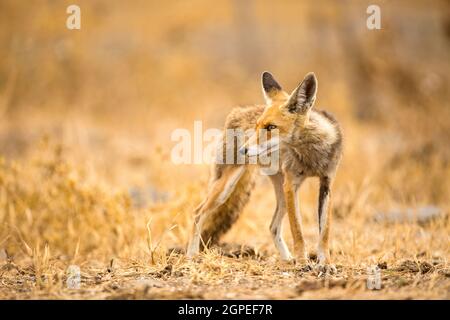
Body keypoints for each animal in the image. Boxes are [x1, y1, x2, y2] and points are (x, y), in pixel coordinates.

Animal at [185, 72, 342, 264]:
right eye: (257, 126)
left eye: (271, 127)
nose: (243, 150)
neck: (311, 156)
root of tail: (237, 111)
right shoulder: (291, 184)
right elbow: (297, 231)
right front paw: (303, 262)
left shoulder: (326, 183)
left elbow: (324, 232)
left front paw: (325, 263)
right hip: (226, 187)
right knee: (198, 212)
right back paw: (191, 254)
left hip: (282, 193)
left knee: (273, 226)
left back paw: (287, 258)